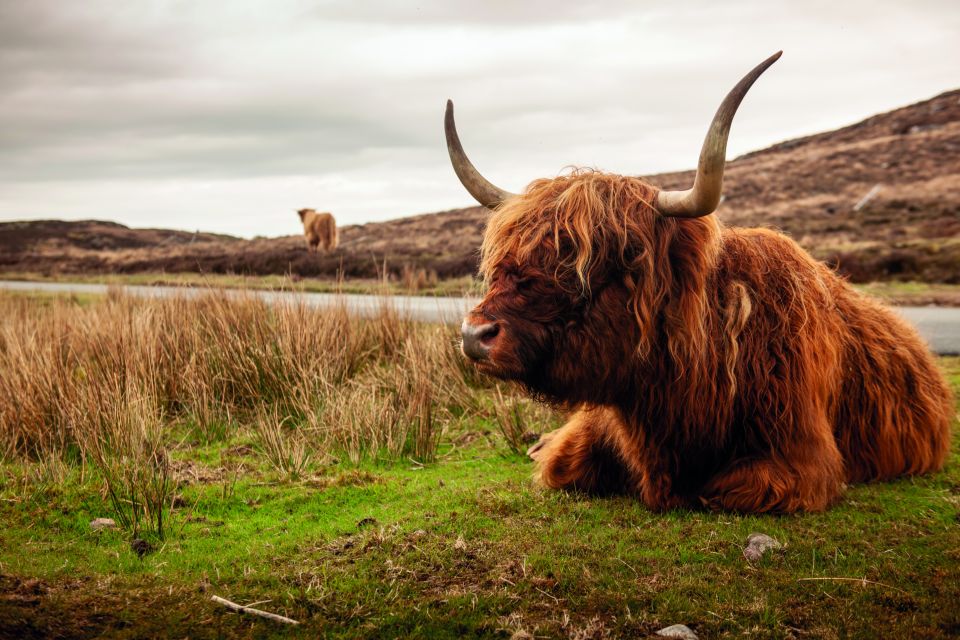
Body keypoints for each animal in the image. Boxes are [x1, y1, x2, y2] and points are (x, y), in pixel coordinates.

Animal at [444, 52, 952, 516]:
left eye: (615, 258)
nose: (476, 335)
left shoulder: (796, 462)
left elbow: (725, 491)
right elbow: (561, 465)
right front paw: (543, 448)